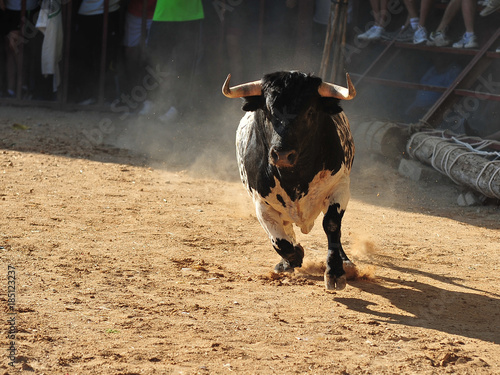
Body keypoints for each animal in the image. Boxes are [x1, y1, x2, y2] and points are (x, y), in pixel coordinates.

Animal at [222, 72, 356, 292]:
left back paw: (346, 262)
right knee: (286, 230)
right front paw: (292, 258)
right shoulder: (262, 204)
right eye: (267, 111)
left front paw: (336, 271)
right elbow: (280, 241)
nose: (282, 154)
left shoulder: (340, 187)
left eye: (310, 111)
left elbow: (332, 226)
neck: (295, 177)